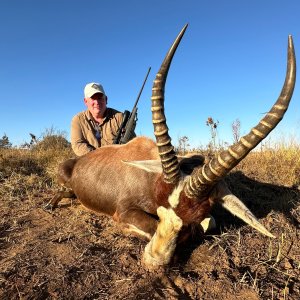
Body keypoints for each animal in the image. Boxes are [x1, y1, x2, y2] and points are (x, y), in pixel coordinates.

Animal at [47, 25, 296, 270]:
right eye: (160, 210)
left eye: (191, 220)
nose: (152, 262)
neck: (149, 178)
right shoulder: (124, 211)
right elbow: (148, 226)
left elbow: (210, 222)